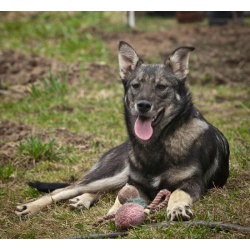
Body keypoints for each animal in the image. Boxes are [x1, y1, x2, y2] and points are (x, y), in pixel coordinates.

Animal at [15, 41, 229, 221]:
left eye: (161, 87)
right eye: (135, 85)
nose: (143, 105)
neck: (158, 143)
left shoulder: (194, 183)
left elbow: (177, 191)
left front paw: (176, 208)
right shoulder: (134, 183)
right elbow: (121, 197)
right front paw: (115, 212)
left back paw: (83, 199)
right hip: (113, 173)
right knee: (67, 189)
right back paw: (31, 207)